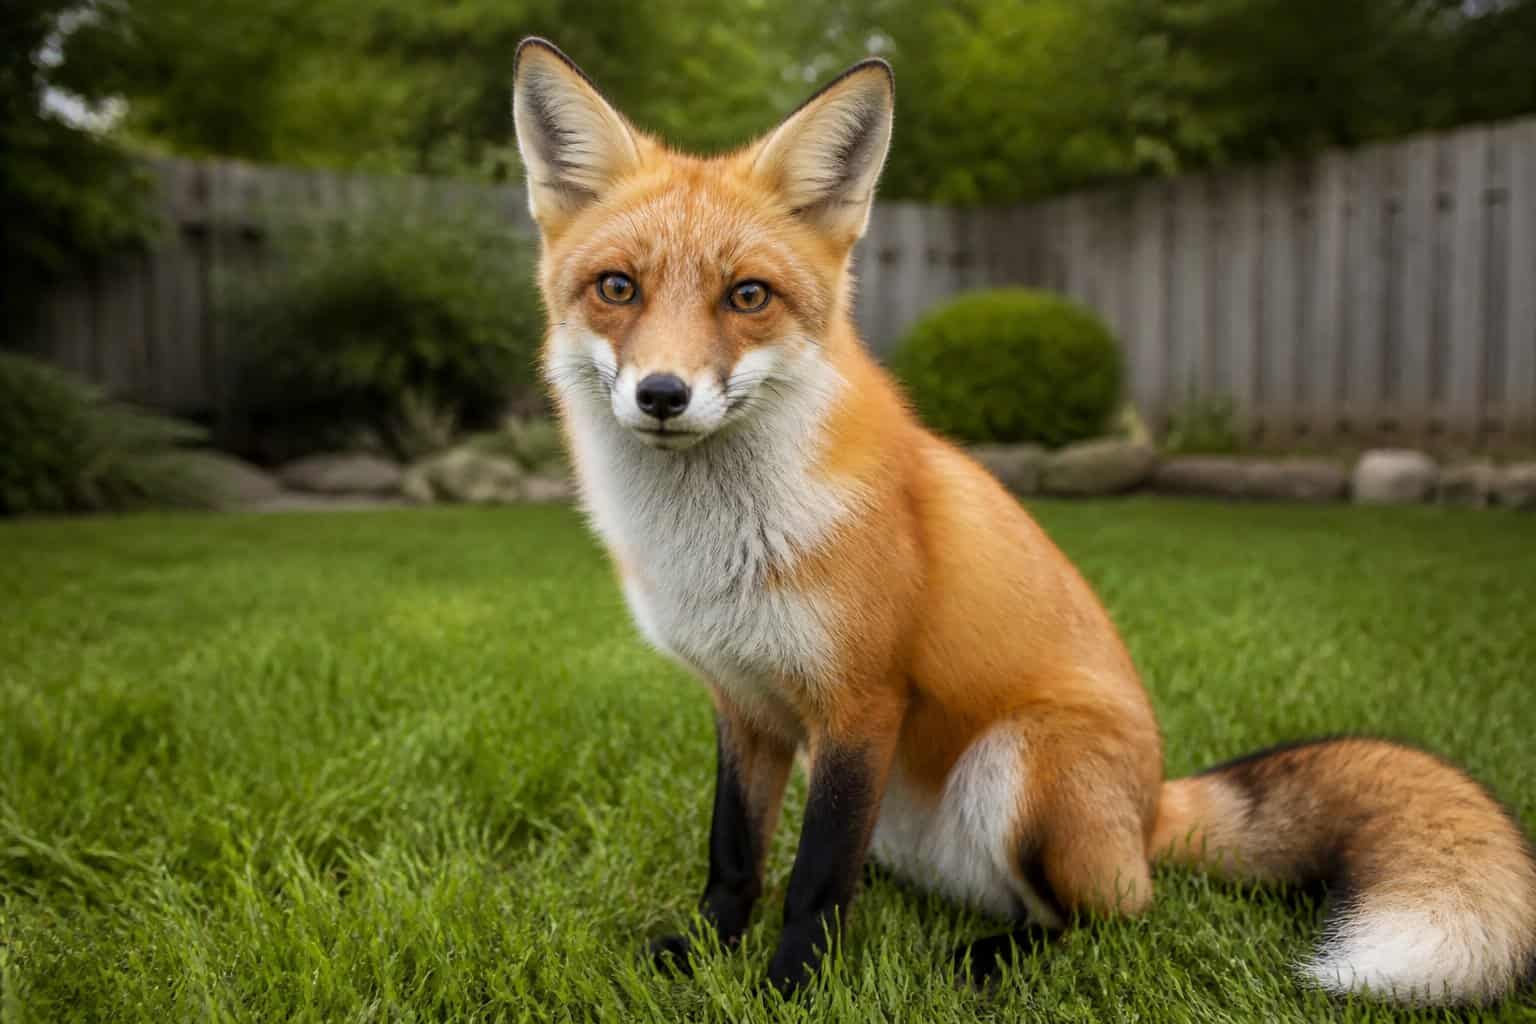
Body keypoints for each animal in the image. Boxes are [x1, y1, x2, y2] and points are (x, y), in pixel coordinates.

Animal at [511, 37, 1536, 1006]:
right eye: (617, 287)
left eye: (748, 296)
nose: (662, 395)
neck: (717, 546)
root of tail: (1152, 807)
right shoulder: (747, 706)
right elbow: (735, 857)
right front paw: (699, 957)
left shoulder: (859, 702)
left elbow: (815, 879)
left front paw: (792, 987)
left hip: (1023, 764)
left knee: (1110, 919)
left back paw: (986, 961)